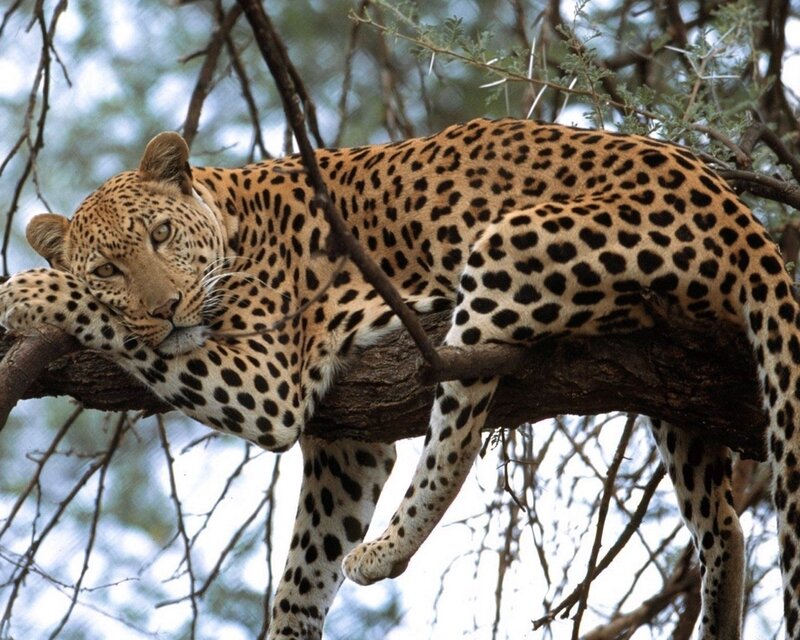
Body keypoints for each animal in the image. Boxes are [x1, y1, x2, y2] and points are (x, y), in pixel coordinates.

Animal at [1, 117, 798, 639]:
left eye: (161, 236)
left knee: (458, 440)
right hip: (675, 384)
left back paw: (387, 549)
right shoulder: (348, 444)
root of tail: (738, 212)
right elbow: (303, 571)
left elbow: (97, 320)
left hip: (505, 250)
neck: (231, 218)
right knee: (723, 522)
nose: (166, 308)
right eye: (110, 267)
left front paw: (25, 291)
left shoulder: (268, 383)